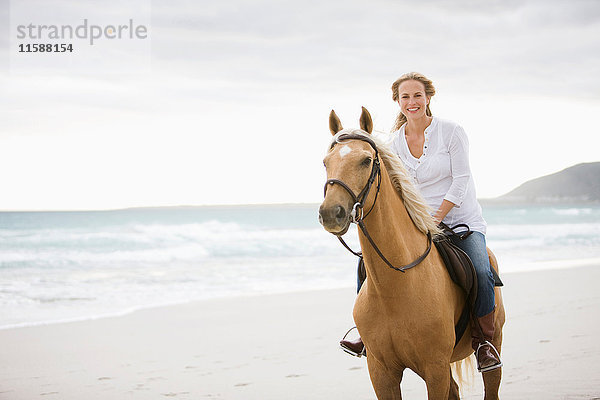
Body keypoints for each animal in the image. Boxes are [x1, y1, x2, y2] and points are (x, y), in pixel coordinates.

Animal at [318, 107, 506, 400]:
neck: (396, 286)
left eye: (366, 160)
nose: (331, 213)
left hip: (492, 343)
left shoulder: (435, 368)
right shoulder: (381, 372)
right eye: (326, 162)